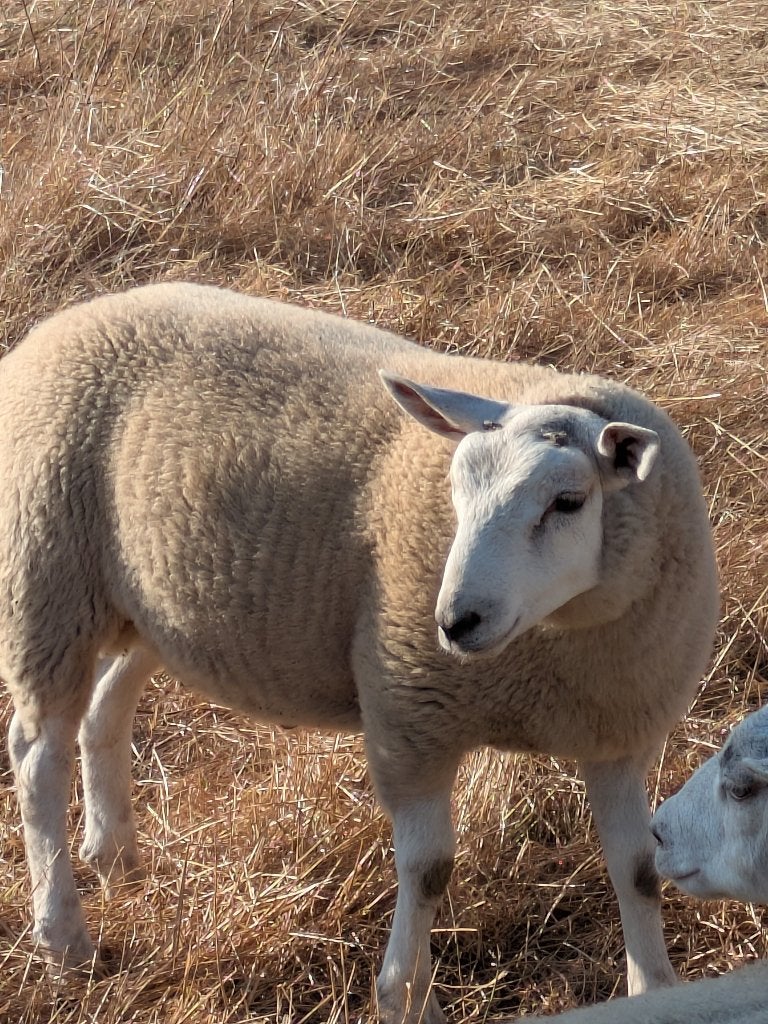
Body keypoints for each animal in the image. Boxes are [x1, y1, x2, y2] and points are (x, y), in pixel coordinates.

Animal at [1, 281, 718, 1023]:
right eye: (454, 491)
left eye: (570, 502)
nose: (455, 621)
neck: (548, 649)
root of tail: (64, 321)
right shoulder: (410, 716)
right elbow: (429, 871)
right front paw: (406, 997)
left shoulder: (618, 730)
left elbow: (639, 869)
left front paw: (655, 988)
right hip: (45, 578)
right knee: (37, 754)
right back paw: (65, 939)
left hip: (149, 604)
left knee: (103, 710)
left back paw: (116, 858)